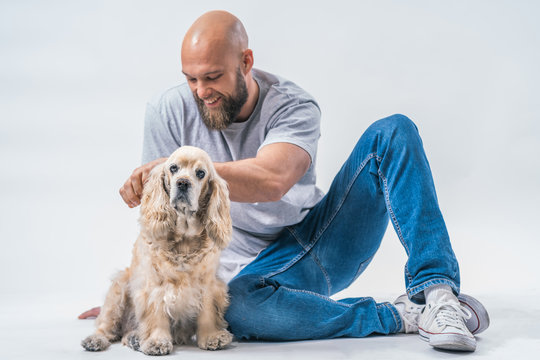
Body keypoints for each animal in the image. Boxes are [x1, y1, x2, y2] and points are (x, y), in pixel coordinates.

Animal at [81, 146, 232, 354]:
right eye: (173, 168)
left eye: (201, 173)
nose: (183, 183)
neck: (184, 241)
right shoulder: (154, 286)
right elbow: (156, 314)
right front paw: (157, 341)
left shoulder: (208, 284)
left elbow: (208, 312)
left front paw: (211, 336)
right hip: (118, 289)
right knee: (105, 326)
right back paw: (96, 340)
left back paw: (134, 338)